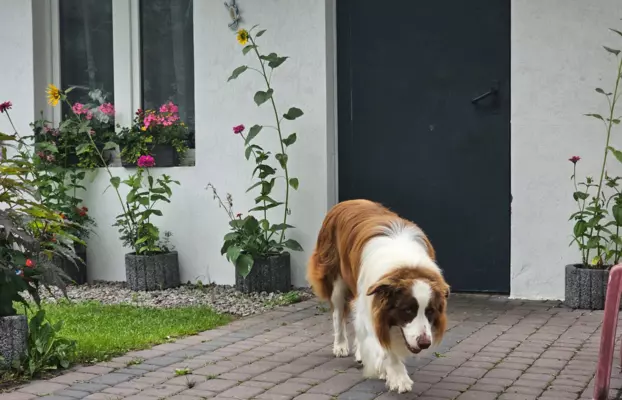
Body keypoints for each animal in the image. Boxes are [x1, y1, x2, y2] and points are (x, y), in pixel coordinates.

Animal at [306, 198, 448, 392]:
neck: (406, 266)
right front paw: (398, 376)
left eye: (430, 311)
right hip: (335, 278)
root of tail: (346, 201)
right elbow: (384, 344)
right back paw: (341, 345)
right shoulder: (375, 308)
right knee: (338, 315)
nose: (425, 343)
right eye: (407, 310)